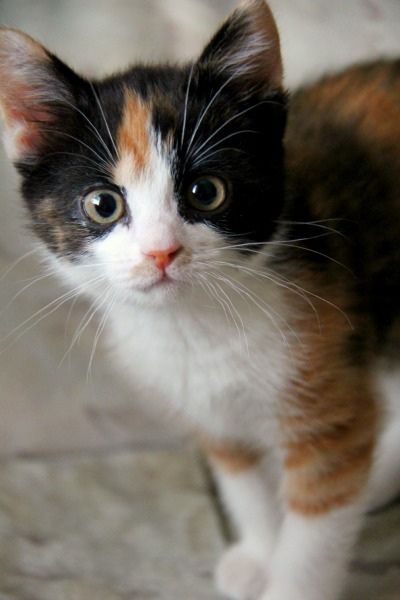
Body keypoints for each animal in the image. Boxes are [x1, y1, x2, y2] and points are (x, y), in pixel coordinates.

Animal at [0, 1, 400, 600]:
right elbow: (244, 483)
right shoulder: (208, 407)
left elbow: (317, 522)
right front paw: (258, 554)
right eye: (103, 204)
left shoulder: (330, 391)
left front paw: (288, 581)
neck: (193, 325)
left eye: (205, 192)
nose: (161, 252)